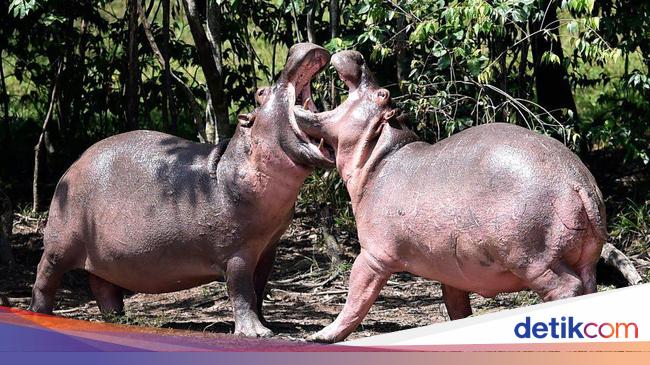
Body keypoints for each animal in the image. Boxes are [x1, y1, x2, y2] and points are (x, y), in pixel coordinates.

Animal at [27, 42, 332, 336]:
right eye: (261, 92)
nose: (296, 48)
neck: (236, 164)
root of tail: (74, 163)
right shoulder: (237, 253)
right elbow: (242, 292)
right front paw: (257, 333)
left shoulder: (268, 247)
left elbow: (259, 289)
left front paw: (270, 325)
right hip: (60, 244)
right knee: (45, 276)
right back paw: (39, 314)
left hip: (104, 255)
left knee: (103, 286)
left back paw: (123, 321)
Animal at [292, 50, 604, 342]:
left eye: (382, 94)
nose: (357, 56)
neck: (379, 156)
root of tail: (577, 182)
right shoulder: (451, 271)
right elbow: (457, 308)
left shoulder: (373, 255)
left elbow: (356, 298)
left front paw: (320, 336)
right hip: (584, 258)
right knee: (588, 286)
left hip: (532, 259)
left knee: (565, 288)